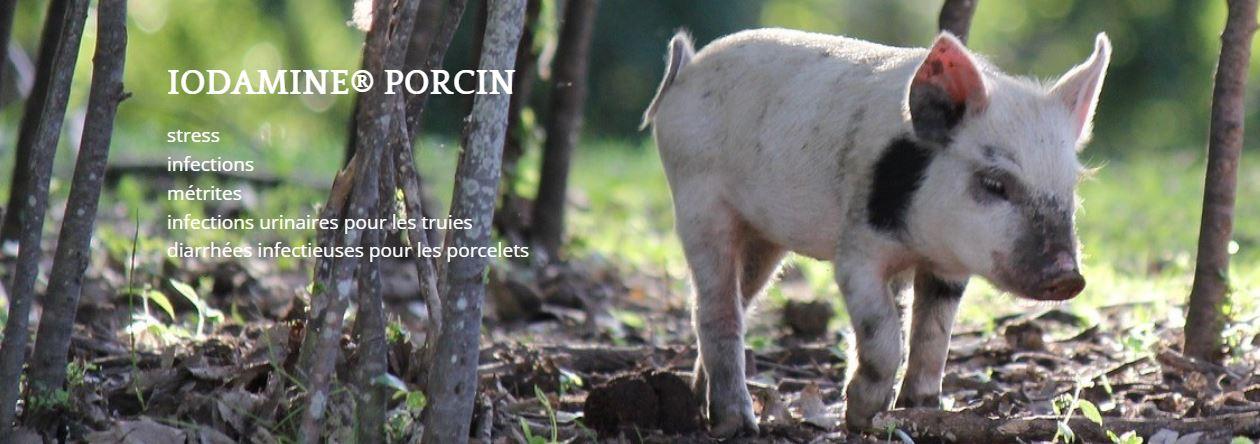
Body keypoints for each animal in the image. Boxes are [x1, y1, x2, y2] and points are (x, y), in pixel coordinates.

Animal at [642, 28, 1110, 437]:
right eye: (995, 183)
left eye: (1070, 187)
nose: (1068, 276)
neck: (921, 243)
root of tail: (685, 71)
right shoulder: (857, 253)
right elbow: (884, 334)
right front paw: (862, 417)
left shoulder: (948, 270)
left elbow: (933, 339)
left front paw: (922, 410)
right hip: (697, 199)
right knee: (715, 307)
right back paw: (736, 425)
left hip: (763, 235)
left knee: (738, 300)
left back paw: (701, 405)